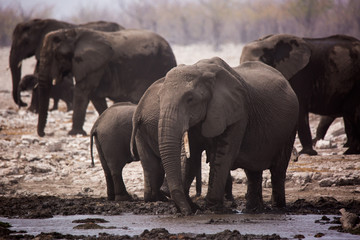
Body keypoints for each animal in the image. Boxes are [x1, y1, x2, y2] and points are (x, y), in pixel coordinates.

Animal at [37, 27, 176, 137]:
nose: (44, 134)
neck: (72, 33)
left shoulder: (90, 65)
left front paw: (74, 133)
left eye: (58, 56)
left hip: (160, 65)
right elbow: (95, 97)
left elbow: (82, 91)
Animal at [132, 57, 298, 215]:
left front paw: (211, 209)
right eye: (159, 98)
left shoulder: (238, 113)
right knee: (253, 170)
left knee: (278, 169)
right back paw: (253, 210)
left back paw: (277, 208)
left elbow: (223, 154)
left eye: (190, 99)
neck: (203, 71)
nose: (187, 212)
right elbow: (191, 156)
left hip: (290, 127)